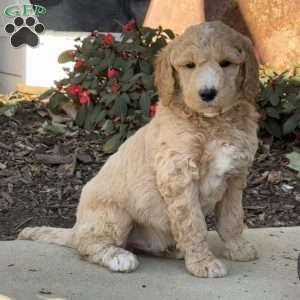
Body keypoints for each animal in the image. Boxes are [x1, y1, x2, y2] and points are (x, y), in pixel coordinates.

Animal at [18, 21, 258, 278]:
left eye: (226, 63)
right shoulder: (178, 175)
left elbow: (232, 218)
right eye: (189, 66)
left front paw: (238, 248)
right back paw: (118, 257)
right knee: (87, 245)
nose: (208, 93)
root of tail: (76, 228)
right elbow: (193, 223)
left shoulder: (235, 175)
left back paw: (172, 249)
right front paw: (203, 262)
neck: (213, 123)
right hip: (114, 215)